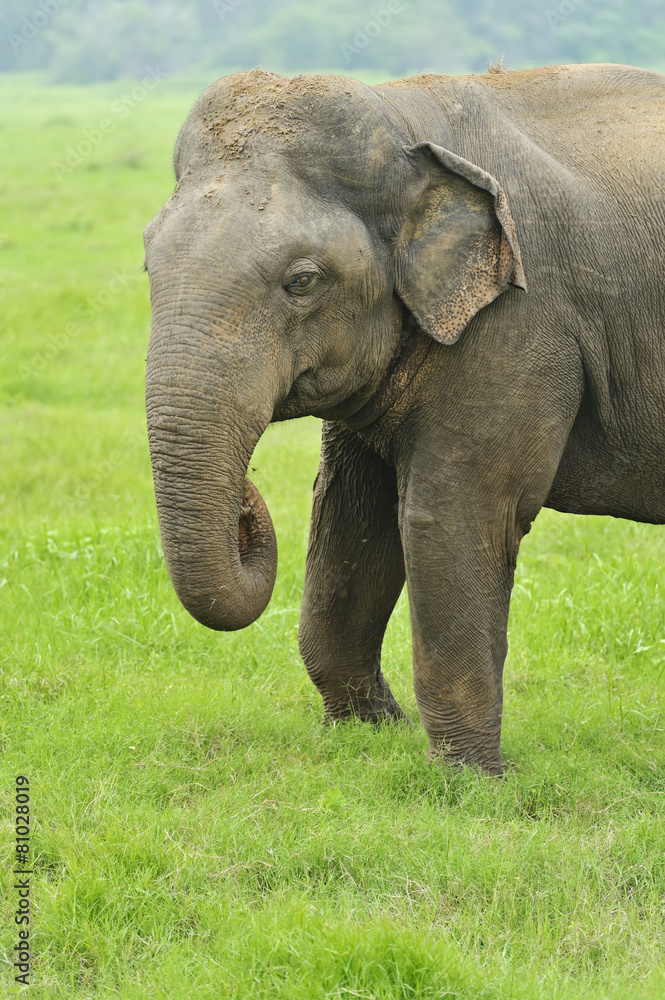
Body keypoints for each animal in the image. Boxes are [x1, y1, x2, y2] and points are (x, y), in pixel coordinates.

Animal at [143, 63, 665, 774]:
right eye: (146, 261)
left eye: (302, 281)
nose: (247, 504)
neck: (406, 117)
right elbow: (350, 513)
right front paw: (370, 734)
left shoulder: (519, 321)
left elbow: (449, 515)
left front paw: (472, 780)